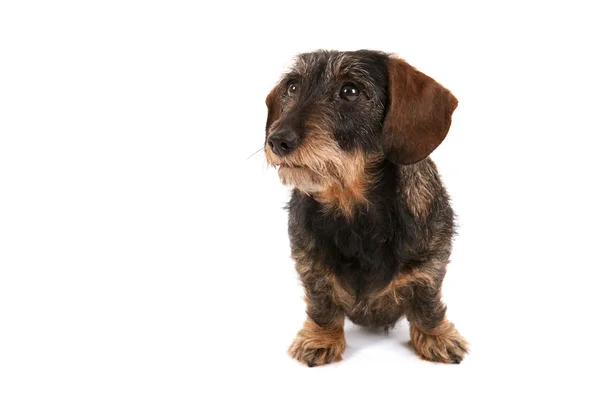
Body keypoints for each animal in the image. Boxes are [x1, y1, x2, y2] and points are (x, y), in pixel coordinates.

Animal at [264, 49, 468, 366]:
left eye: (350, 91)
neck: (354, 210)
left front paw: (436, 336)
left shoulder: (431, 265)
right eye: (293, 86)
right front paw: (320, 338)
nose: (277, 140)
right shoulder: (310, 267)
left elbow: (427, 300)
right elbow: (321, 303)